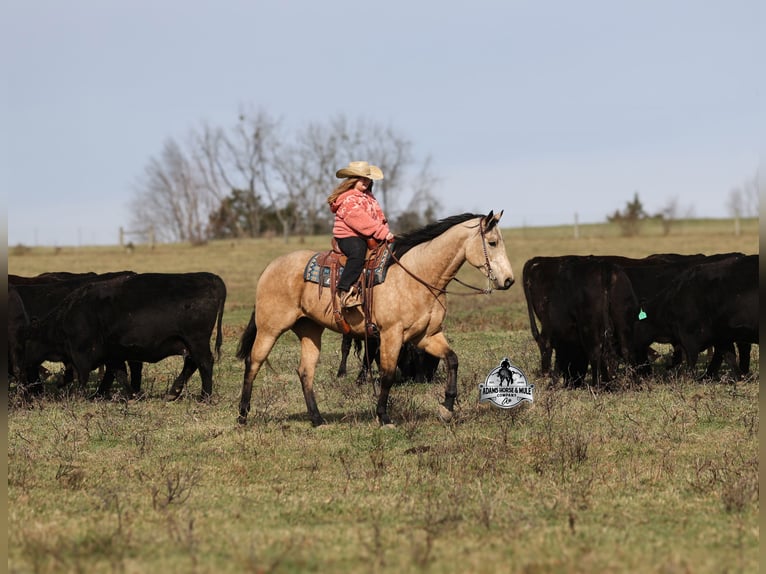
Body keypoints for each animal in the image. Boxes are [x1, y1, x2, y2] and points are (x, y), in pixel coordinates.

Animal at [236, 211, 515, 427]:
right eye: (492, 243)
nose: (509, 280)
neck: (418, 276)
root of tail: (270, 268)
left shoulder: (427, 336)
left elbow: (452, 360)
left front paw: (446, 408)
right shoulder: (391, 334)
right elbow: (388, 374)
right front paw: (383, 416)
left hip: (310, 330)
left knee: (305, 371)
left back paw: (317, 419)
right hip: (270, 328)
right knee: (253, 362)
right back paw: (242, 415)